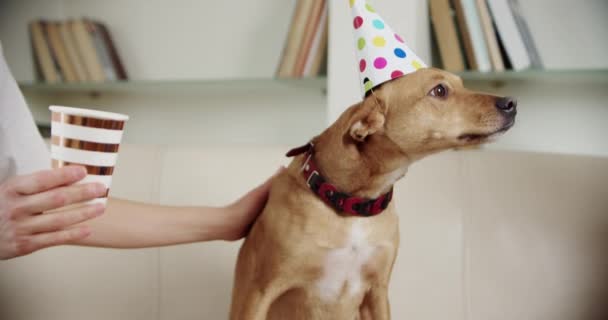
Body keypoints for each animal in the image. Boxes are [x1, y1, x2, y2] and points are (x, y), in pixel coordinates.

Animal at [230, 68, 516, 320]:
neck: (352, 206)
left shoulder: (377, 292)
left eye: (462, 83)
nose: (511, 103)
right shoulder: (261, 291)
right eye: (439, 90)